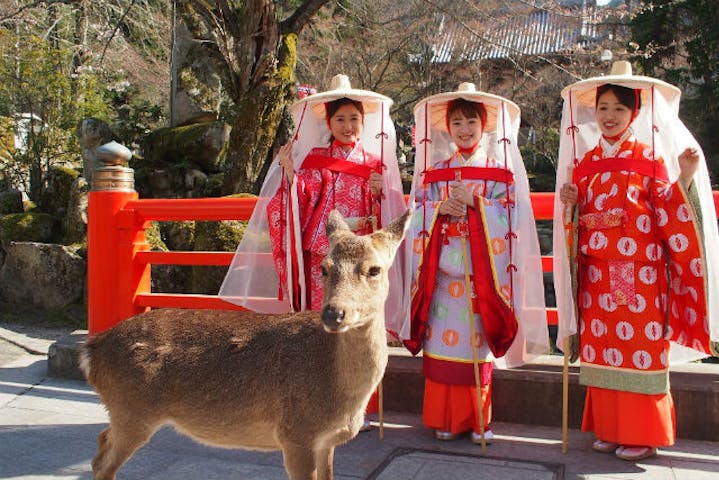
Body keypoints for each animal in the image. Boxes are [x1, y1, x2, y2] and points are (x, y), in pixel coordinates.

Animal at [79, 210, 410, 480]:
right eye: (324, 268)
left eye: (374, 269)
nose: (333, 313)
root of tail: (91, 351)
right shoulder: (295, 433)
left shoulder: (326, 442)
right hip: (132, 410)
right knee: (103, 461)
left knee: (100, 444)